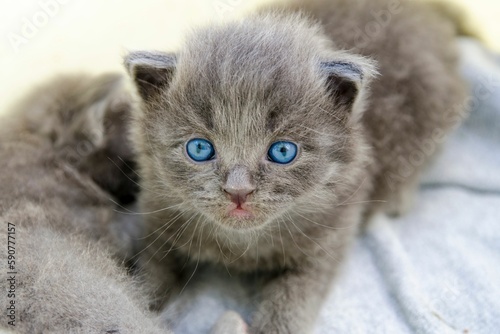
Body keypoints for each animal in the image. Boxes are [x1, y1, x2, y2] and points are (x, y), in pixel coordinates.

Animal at [125, 1, 468, 332]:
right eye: (199, 148)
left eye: (282, 151)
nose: (238, 191)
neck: (242, 247)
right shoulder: (158, 217)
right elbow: (148, 276)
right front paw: (138, 304)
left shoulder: (330, 236)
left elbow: (293, 300)